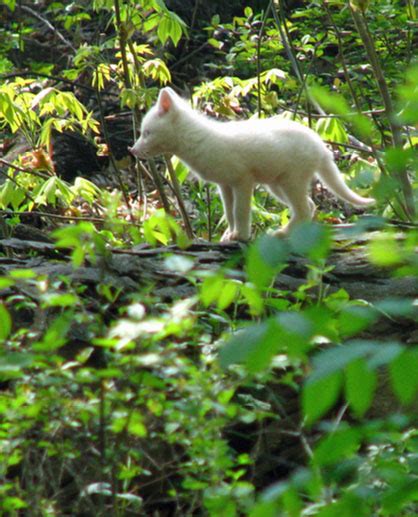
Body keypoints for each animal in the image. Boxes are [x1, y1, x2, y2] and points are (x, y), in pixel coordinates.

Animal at [129, 87, 374, 241]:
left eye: (147, 133)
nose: (132, 150)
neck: (198, 141)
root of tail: (322, 147)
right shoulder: (225, 185)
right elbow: (229, 213)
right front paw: (229, 235)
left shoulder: (243, 181)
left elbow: (240, 211)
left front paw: (242, 236)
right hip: (276, 185)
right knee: (310, 206)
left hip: (290, 181)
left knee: (305, 209)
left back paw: (280, 234)